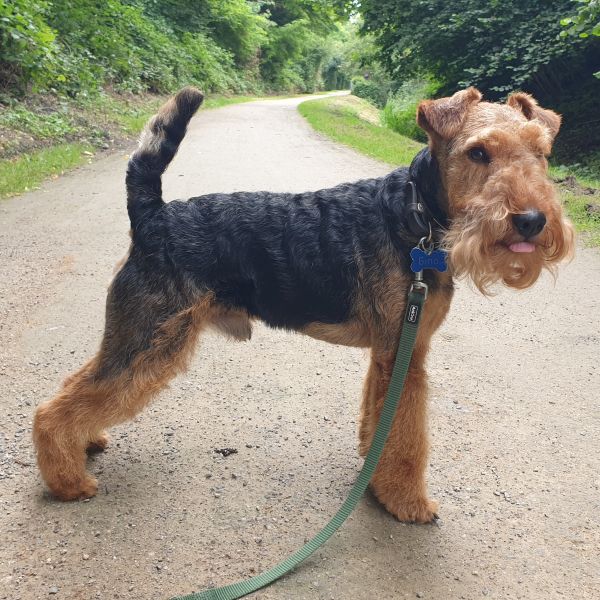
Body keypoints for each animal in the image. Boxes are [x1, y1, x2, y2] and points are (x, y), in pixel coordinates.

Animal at [34, 86, 576, 524]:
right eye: (478, 152)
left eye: (541, 152)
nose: (531, 220)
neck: (416, 218)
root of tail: (151, 214)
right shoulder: (406, 351)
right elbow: (406, 437)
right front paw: (407, 502)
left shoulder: (391, 350)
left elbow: (380, 418)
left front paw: (372, 467)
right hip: (150, 338)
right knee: (53, 408)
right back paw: (69, 481)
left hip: (134, 332)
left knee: (76, 386)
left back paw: (87, 443)